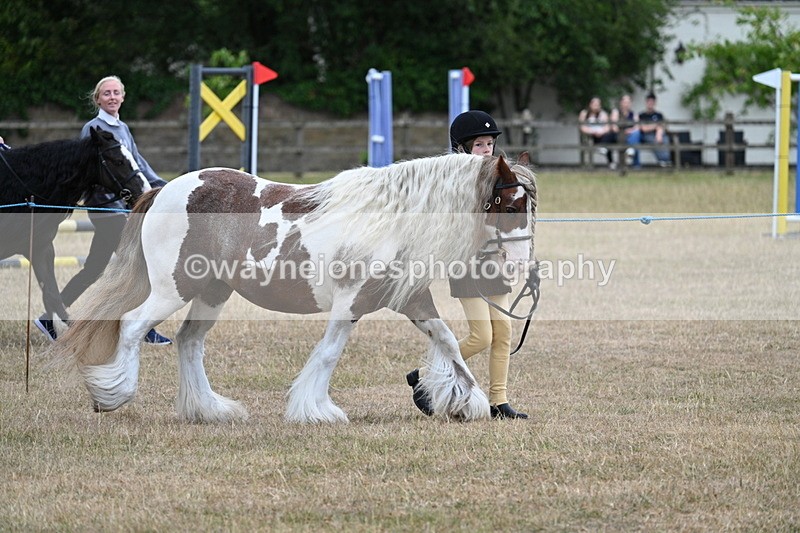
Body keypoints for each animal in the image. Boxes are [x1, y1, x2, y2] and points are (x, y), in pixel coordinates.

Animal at [52, 152, 538, 423]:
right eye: (511, 205)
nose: (522, 265)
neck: (390, 220)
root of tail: (166, 189)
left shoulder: (413, 301)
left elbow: (450, 342)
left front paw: (467, 402)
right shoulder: (350, 305)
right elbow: (328, 354)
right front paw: (316, 410)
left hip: (211, 293)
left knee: (189, 342)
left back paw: (209, 410)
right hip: (173, 289)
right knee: (134, 327)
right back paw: (112, 395)